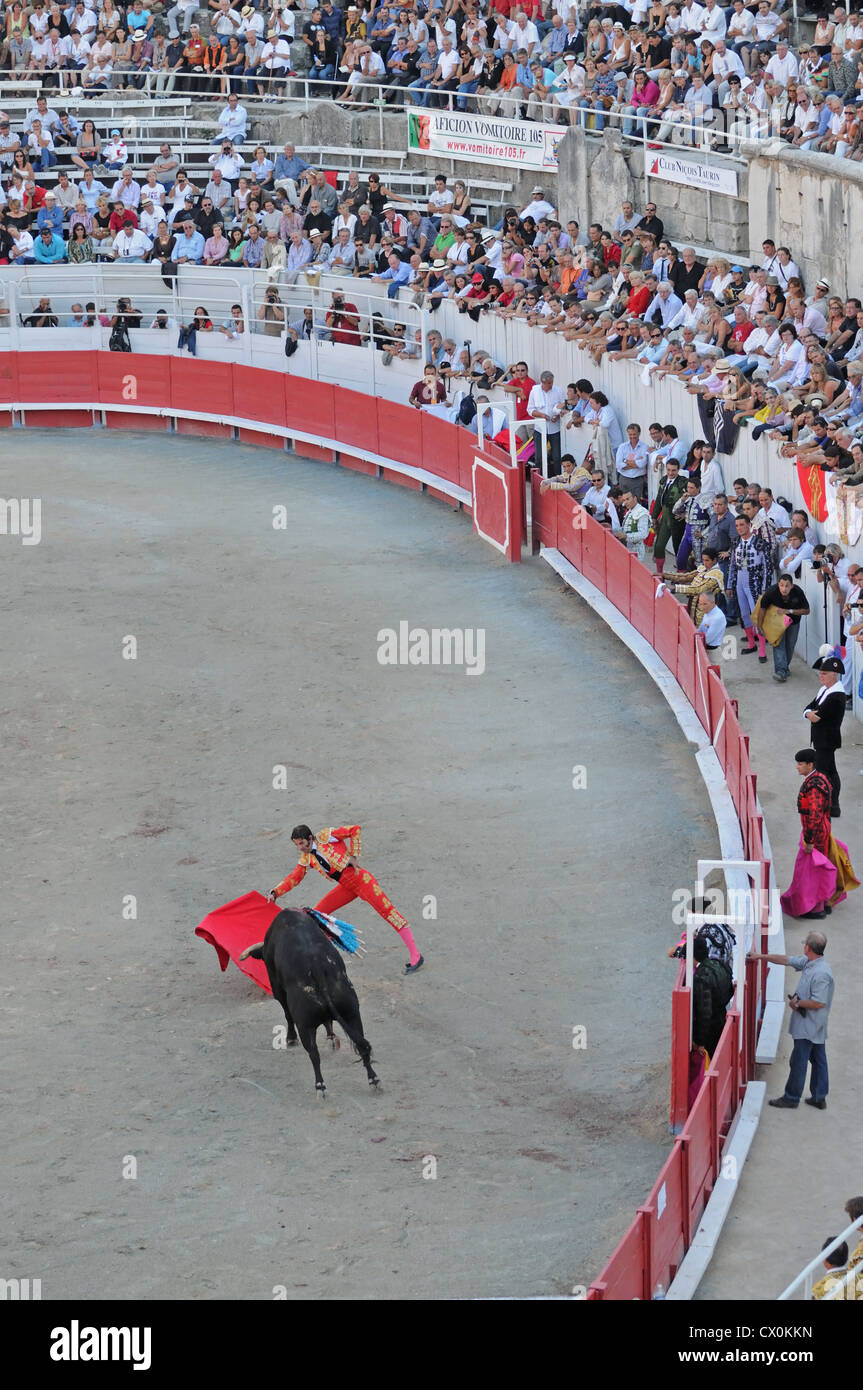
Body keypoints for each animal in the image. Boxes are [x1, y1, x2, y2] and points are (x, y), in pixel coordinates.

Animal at [240, 911, 377, 1095]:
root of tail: (317, 969)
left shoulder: (278, 988)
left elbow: (287, 1014)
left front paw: (291, 1039)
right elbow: (328, 1023)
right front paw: (331, 1039)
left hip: (305, 1024)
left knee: (314, 1054)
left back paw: (320, 1086)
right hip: (352, 1013)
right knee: (361, 1044)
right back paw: (373, 1079)